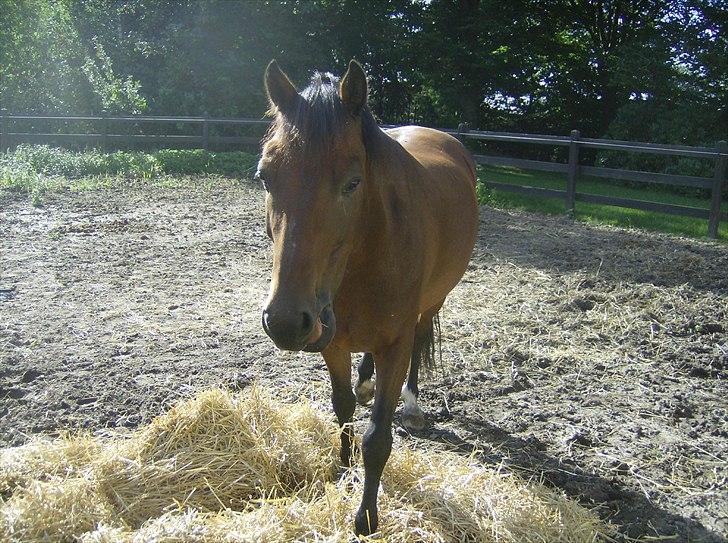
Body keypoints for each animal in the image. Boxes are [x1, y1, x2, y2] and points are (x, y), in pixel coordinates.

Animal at [258, 59, 478, 536]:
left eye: (353, 183)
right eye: (265, 176)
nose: (285, 321)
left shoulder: (394, 343)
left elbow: (377, 437)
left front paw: (366, 517)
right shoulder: (332, 340)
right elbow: (342, 408)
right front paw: (342, 469)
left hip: (431, 305)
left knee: (419, 341)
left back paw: (411, 402)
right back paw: (365, 381)